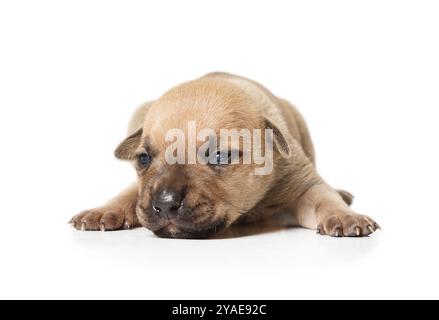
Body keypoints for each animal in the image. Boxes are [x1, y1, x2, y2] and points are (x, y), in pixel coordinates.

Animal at [70, 72, 380, 238]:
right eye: (143, 159)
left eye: (219, 156)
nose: (165, 204)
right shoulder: (141, 187)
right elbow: (130, 193)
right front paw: (103, 210)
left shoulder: (303, 182)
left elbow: (325, 199)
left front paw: (344, 216)